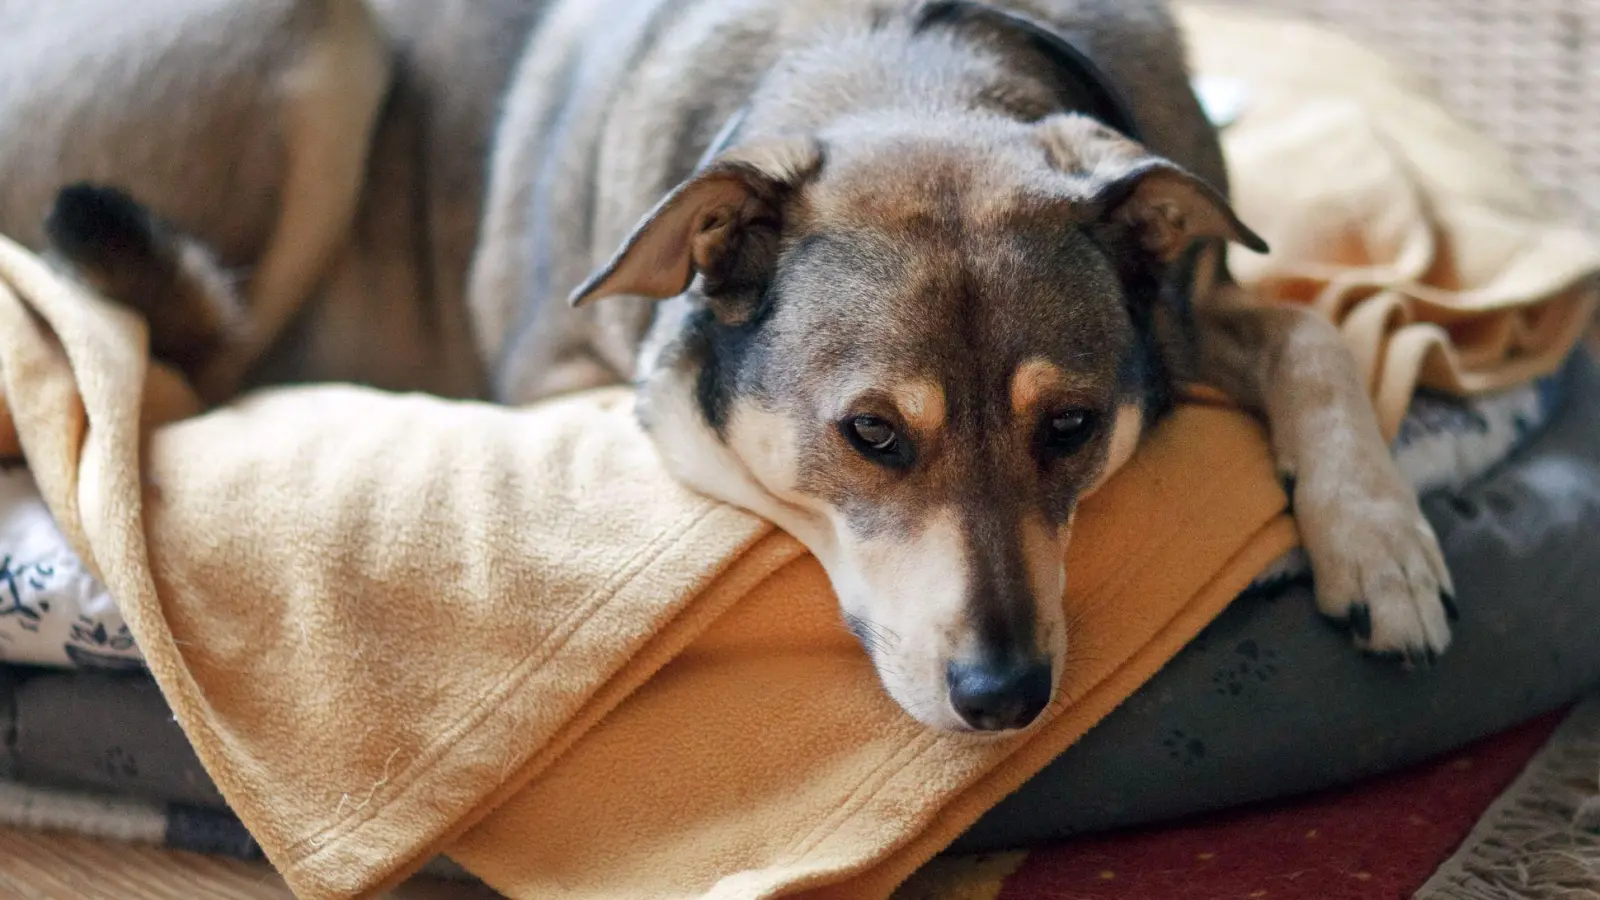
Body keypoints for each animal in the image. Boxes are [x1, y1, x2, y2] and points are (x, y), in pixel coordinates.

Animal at [0, 0, 1459, 730]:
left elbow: (1313, 328)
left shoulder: (1187, 302)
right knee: (161, 364)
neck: (903, 65)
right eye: (871, 434)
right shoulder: (572, 376)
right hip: (317, 46)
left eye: (1073, 428)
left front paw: (1379, 544)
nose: (1004, 699)